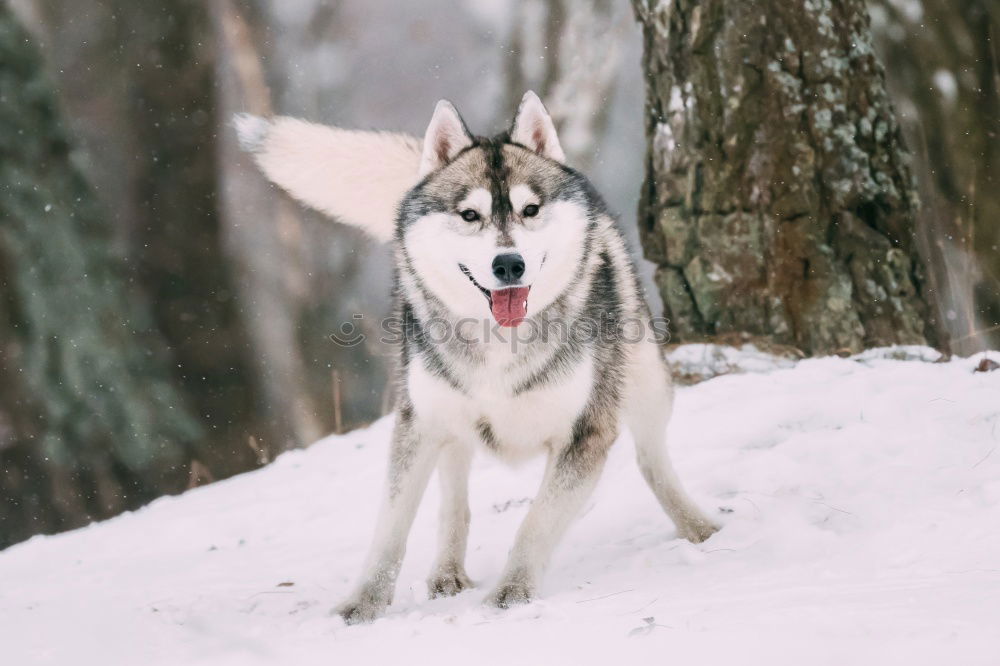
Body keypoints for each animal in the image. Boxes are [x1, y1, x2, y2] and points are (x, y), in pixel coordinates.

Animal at [234, 91, 720, 620]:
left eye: (531, 209)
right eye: (470, 215)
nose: (509, 264)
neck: (499, 345)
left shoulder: (585, 433)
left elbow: (535, 522)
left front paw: (513, 593)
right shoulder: (419, 421)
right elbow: (390, 528)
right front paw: (363, 604)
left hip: (647, 383)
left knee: (652, 459)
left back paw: (697, 526)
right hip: (450, 420)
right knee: (454, 496)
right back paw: (447, 571)